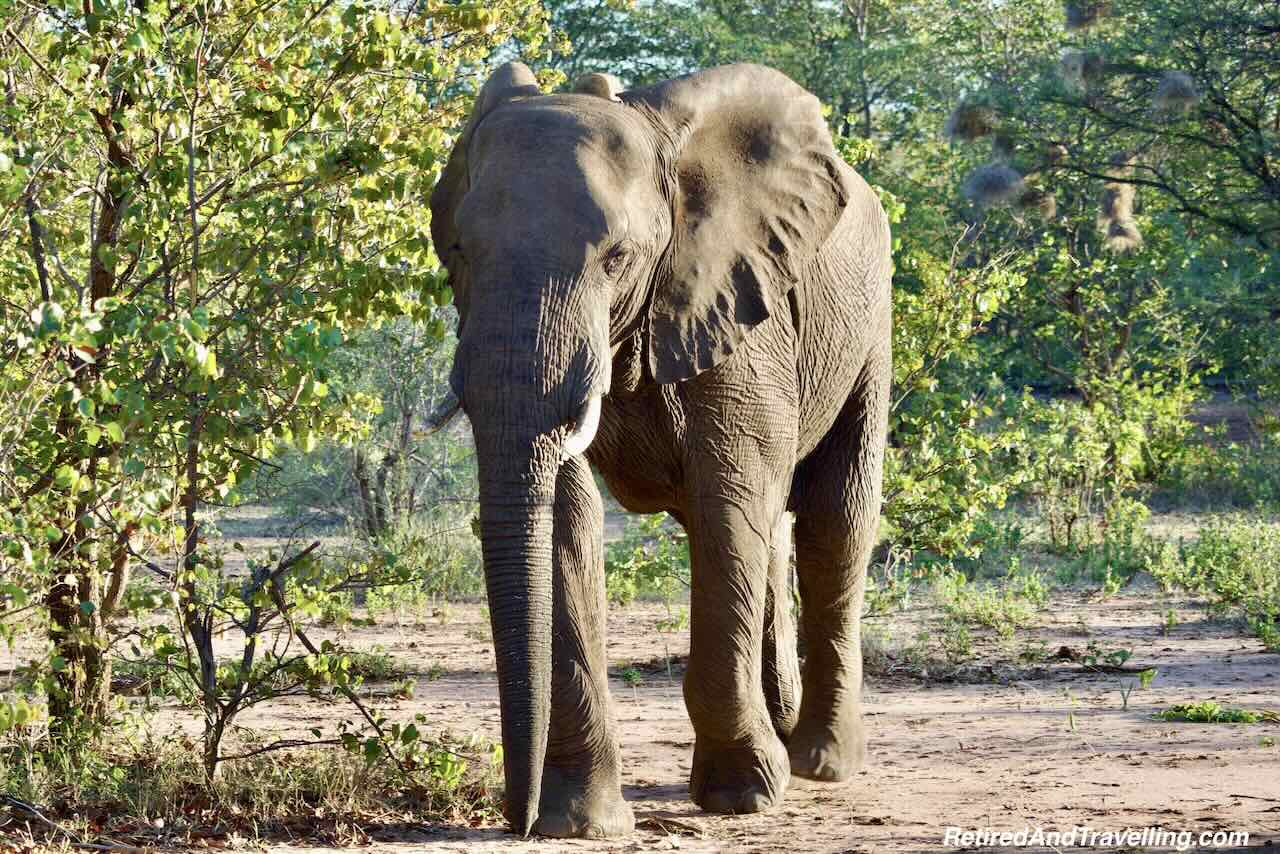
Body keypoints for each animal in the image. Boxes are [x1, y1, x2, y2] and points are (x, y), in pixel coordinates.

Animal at [430, 61, 890, 839]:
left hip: (869, 323)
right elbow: (568, 518)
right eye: (459, 251)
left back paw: (820, 761)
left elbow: (727, 503)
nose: (515, 818)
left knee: (835, 519)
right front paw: (581, 822)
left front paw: (743, 795)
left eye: (618, 257)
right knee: (773, 535)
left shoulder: (734, 305)